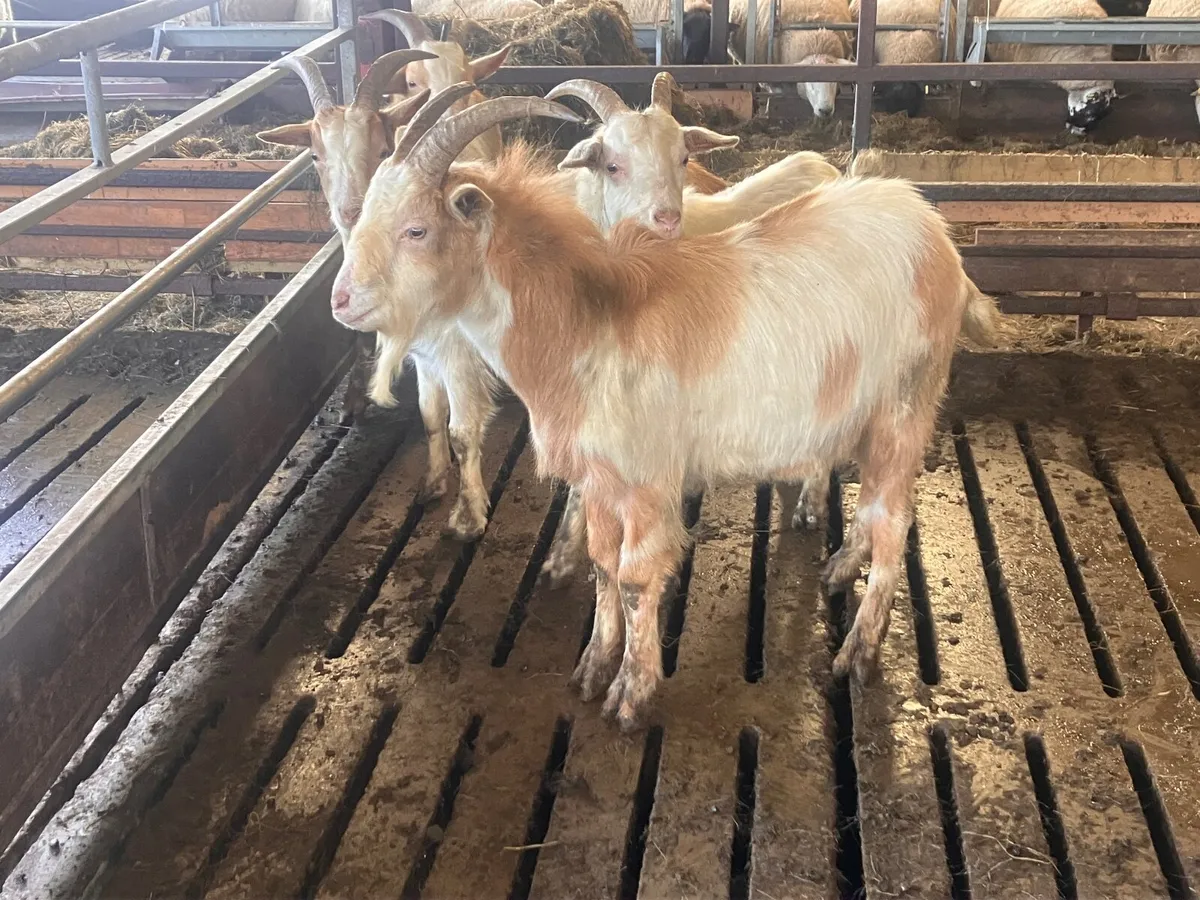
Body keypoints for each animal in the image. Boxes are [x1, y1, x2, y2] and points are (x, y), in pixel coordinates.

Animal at [333, 88, 982, 730]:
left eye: (416, 230)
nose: (340, 301)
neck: (589, 320)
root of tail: (927, 222)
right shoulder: (598, 479)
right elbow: (601, 567)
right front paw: (594, 665)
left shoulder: (646, 481)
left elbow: (634, 580)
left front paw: (630, 691)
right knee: (872, 501)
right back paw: (842, 563)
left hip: (906, 401)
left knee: (893, 518)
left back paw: (860, 650)